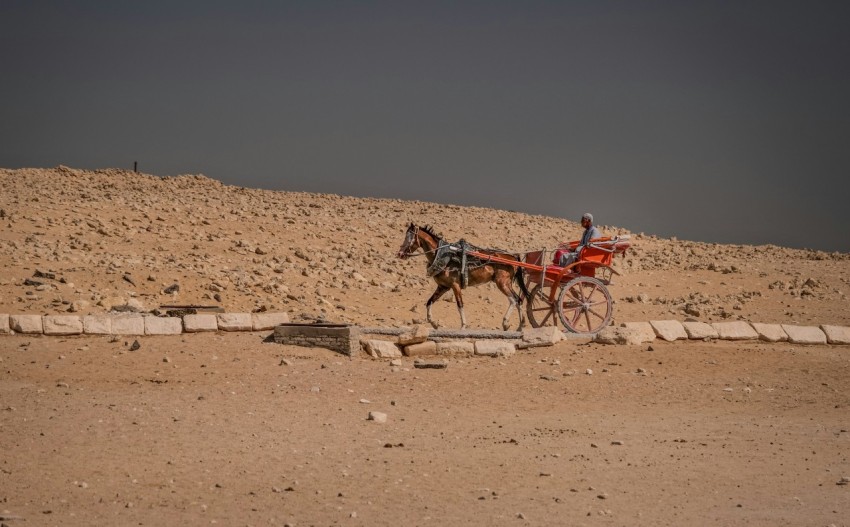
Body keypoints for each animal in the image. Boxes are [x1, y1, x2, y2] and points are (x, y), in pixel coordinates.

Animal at [394, 223, 528, 330]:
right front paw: (433, 323)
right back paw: (521, 326)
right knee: (519, 299)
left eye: (409, 237)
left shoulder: (455, 285)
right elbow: (429, 302)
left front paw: (463, 325)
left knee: (513, 299)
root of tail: (513, 257)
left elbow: (460, 305)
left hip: (501, 282)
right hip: (506, 283)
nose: (400, 253)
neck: (444, 256)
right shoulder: (443, 287)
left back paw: (505, 323)